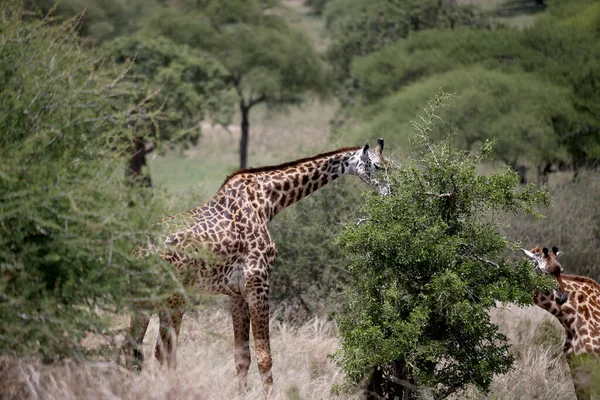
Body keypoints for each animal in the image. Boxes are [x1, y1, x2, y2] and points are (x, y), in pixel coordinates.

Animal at [122, 139, 390, 396]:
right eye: (378, 166)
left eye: (390, 165)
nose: (390, 191)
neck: (270, 200)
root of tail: (139, 250)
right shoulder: (258, 283)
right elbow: (265, 358)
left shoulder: (236, 294)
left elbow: (242, 357)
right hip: (174, 298)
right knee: (160, 352)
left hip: (147, 299)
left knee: (136, 348)